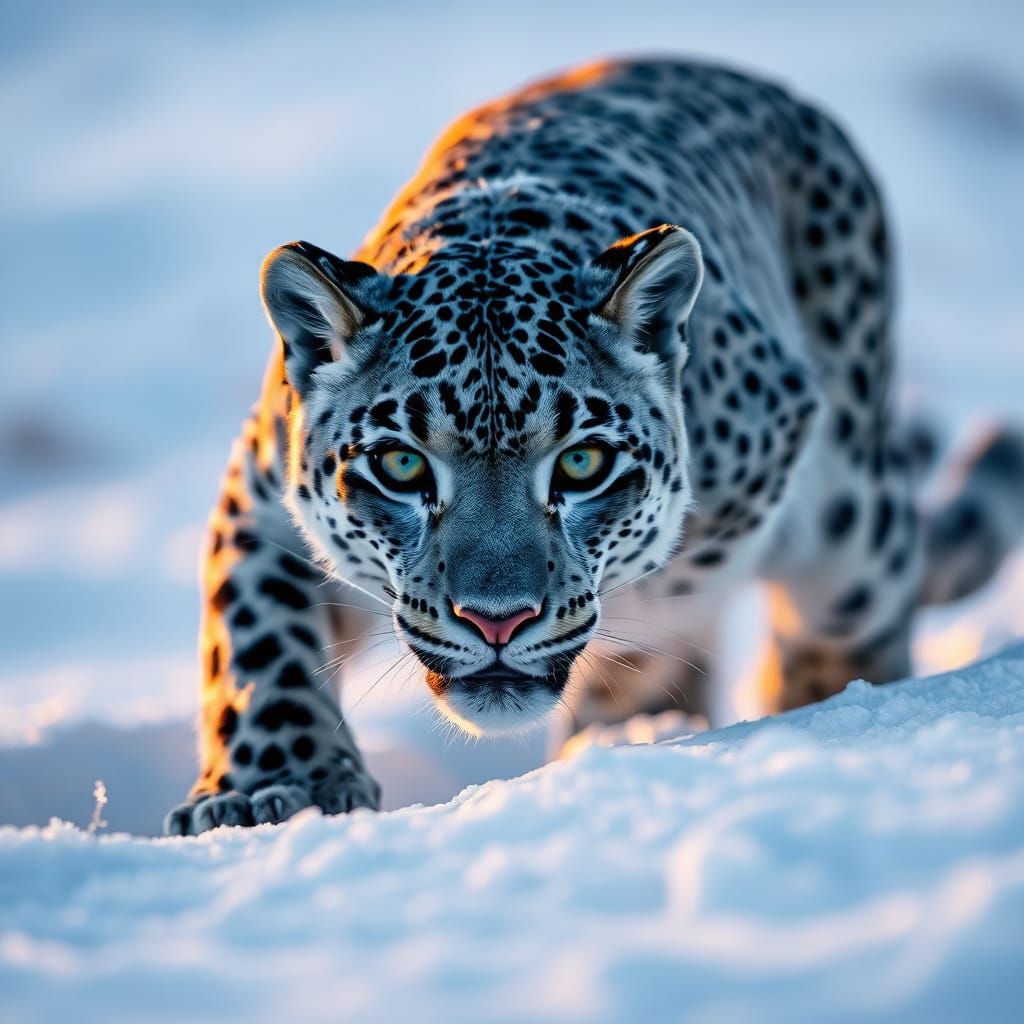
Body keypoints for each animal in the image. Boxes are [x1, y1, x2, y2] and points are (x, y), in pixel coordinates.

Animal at [165, 58, 1024, 835]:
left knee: (850, 619)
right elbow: (258, 638)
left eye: (583, 463)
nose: (498, 621)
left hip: (855, 528)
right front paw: (276, 790)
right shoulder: (265, 489)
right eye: (401, 465)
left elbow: (661, 611)